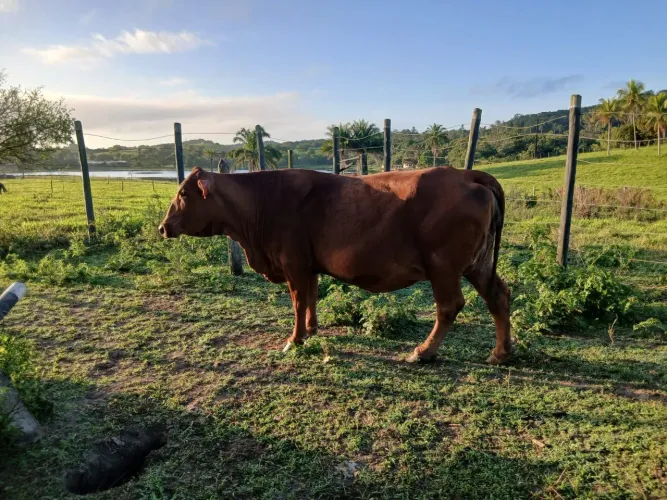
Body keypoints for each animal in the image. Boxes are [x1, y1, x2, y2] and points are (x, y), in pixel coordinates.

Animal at [159, 166, 512, 365]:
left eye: (184, 193)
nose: (163, 227)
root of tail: (466, 173)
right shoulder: (309, 266)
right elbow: (312, 298)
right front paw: (312, 331)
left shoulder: (294, 263)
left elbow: (298, 302)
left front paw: (294, 340)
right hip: (478, 264)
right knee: (498, 296)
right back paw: (501, 354)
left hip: (443, 266)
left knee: (449, 306)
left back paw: (423, 352)